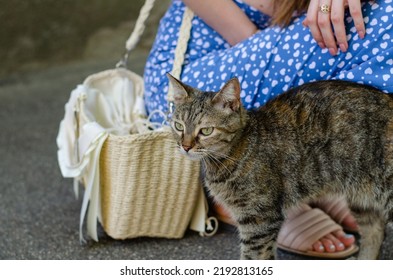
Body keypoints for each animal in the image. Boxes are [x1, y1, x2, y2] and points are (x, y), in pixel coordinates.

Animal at [167, 74, 390, 260]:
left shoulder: (259, 221)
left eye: (206, 131)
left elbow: (254, 259)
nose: (185, 146)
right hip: (362, 200)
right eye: (178, 126)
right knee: (375, 231)